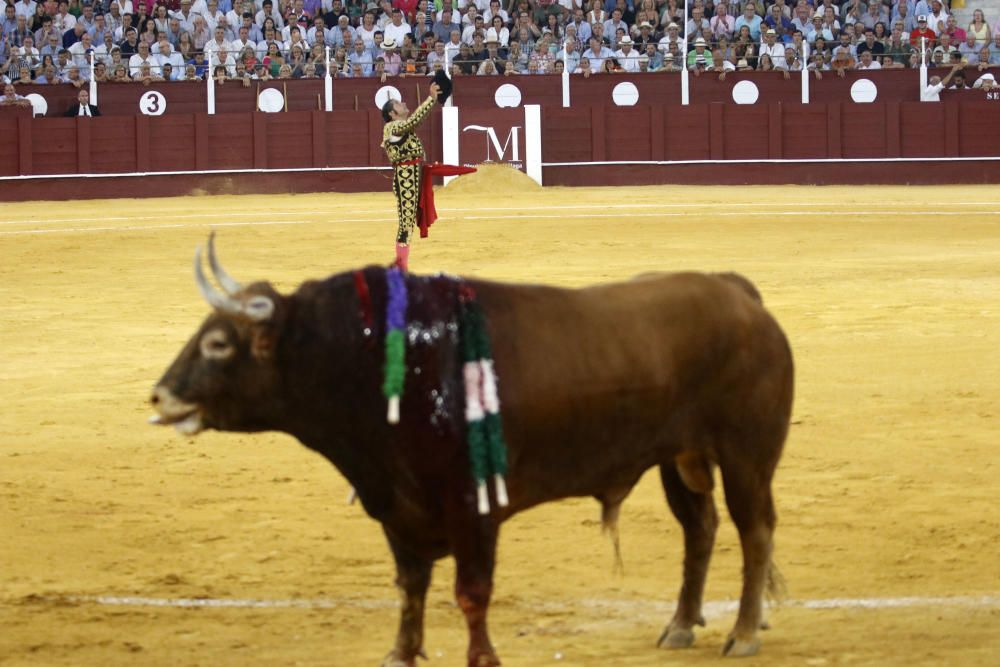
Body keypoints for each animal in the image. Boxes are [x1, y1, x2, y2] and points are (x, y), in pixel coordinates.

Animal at [152, 237, 796, 664]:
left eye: (217, 342)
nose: (160, 396)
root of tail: (737, 293)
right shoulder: (398, 509)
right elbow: (411, 587)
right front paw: (400, 654)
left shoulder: (475, 510)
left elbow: (471, 593)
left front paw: (482, 657)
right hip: (678, 459)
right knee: (701, 528)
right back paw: (682, 624)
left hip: (745, 455)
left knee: (755, 530)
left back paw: (743, 634)